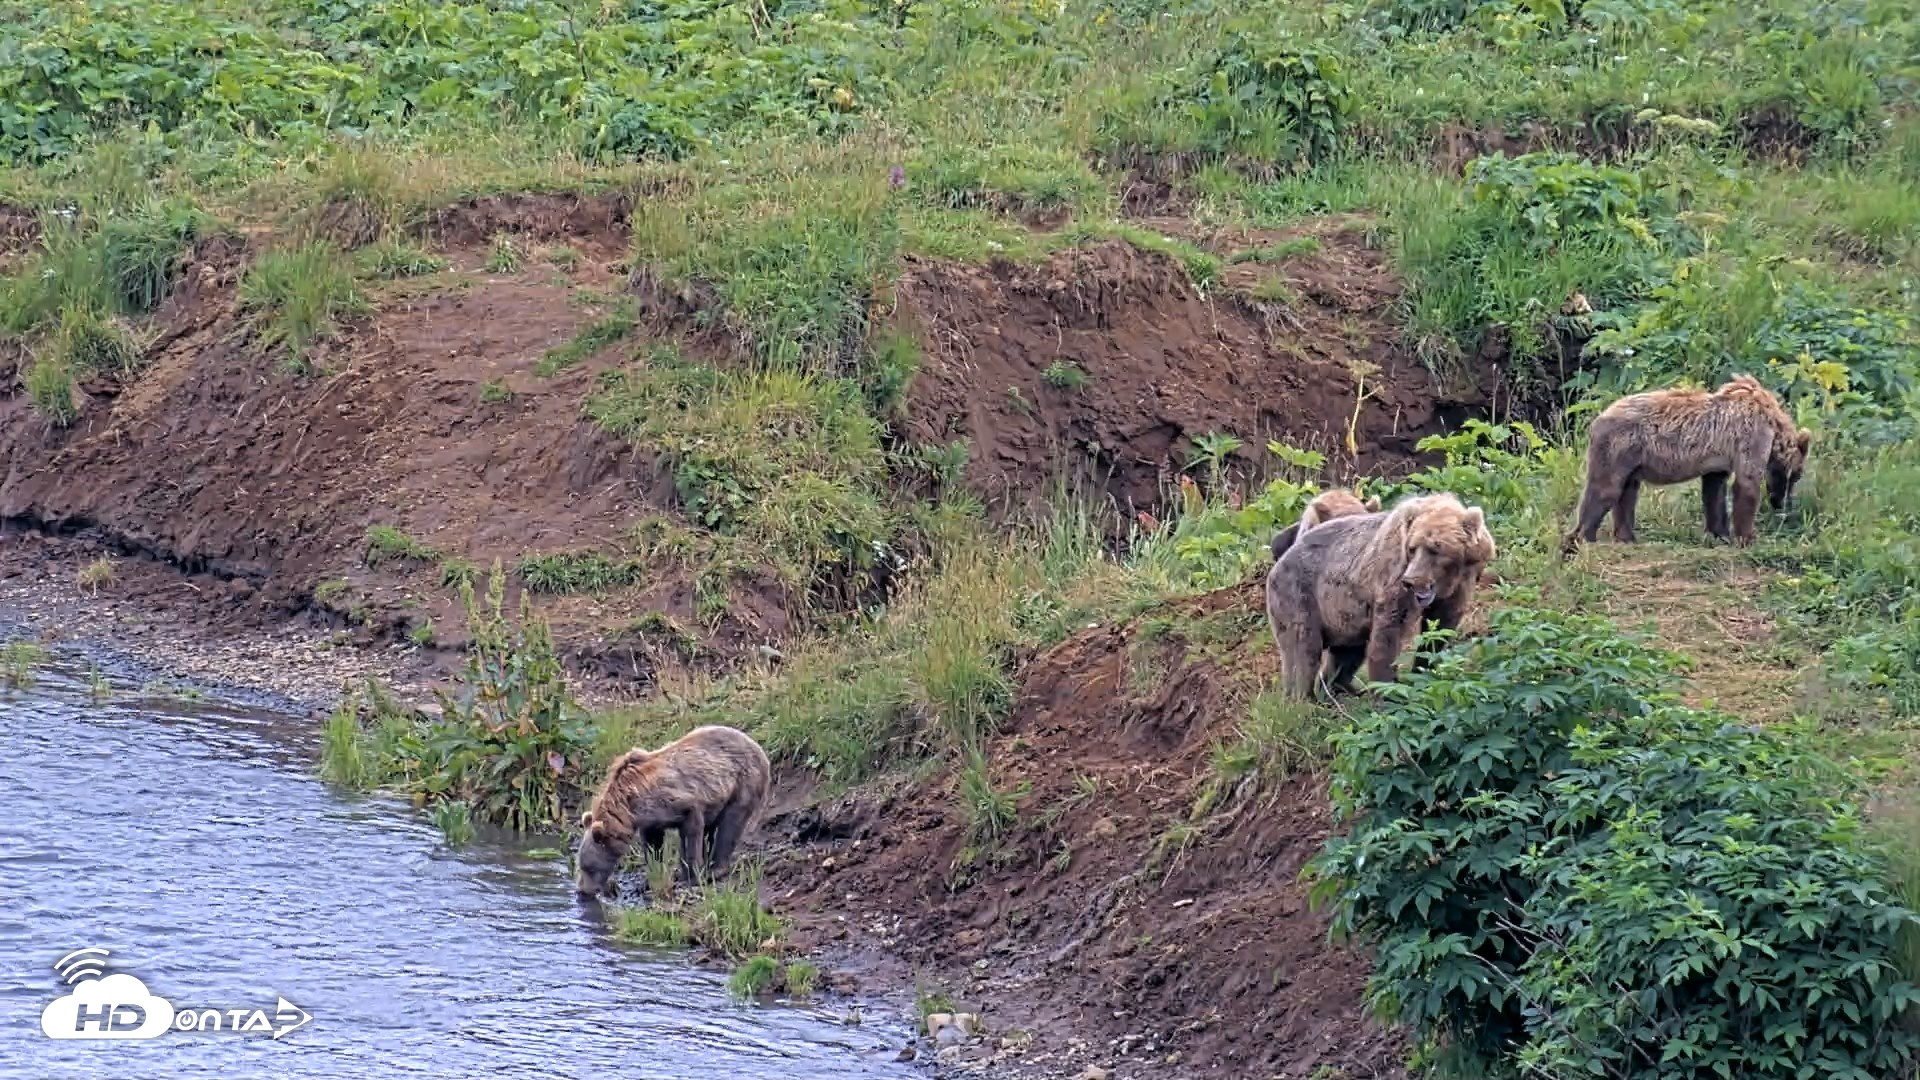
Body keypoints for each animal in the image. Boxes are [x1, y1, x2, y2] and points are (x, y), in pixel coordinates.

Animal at [574, 724, 771, 900]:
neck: (627, 806)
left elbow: (691, 833)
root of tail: (759, 748)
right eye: (581, 865)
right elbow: (653, 845)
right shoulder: (649, 817)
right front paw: (649, 880)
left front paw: (691, 877)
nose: (582, 890)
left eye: (589, 868)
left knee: (730, 825)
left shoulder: (677, 801)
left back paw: (714, 871)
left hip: (742, 783)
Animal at [1265, 491, 1497, 700]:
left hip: (1345, 617)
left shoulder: (1462, 583)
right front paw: (1389, 688)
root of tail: (1277, 563)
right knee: (1303, 648)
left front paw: (1425, 671)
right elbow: (1390, 630)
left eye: (1435, 549)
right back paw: (1303, 697)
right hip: (1300, 594)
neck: (1449, 579)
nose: (1412, 580)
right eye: (1412, 548)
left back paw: (1341, 688)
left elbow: (1441, 627)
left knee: (1348, 652)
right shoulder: (1393, 577)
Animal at [1562, 374, 1812, 554]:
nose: (1783, 504)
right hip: (1617, 448)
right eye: (1795, 475)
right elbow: (1746, 485)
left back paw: (1625, 537)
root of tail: (1597, 418)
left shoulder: (1717, 459)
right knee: (1605, 490)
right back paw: (1583, 538)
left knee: (1626, 494)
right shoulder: (1750, 436)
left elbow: (1714, 491)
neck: (1774, 426)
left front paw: (1719, 533)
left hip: (1631, 462)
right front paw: (1747, 537)